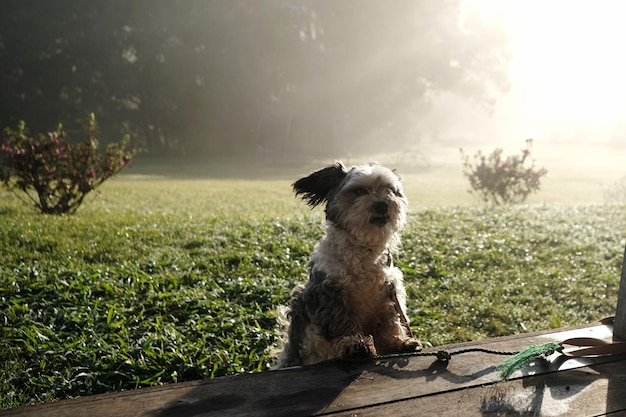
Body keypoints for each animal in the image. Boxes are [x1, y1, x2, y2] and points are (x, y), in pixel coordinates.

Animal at [276, 161, 420, 366]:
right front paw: (354, 344)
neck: (363, 252)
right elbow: (341, 324)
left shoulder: (388, 292)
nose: (382, 205)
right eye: (358, 191)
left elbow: (390, 322)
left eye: (390, 190)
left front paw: (398, 342)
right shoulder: (329, 292)